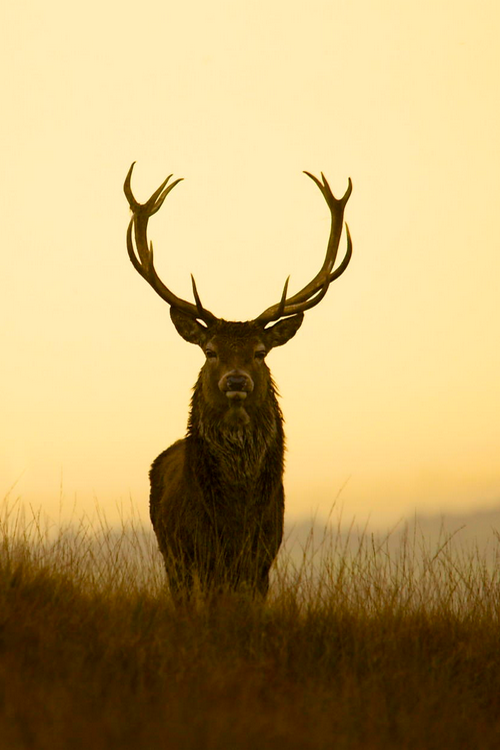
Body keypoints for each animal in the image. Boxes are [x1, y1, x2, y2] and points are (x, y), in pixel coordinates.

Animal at [123, 164, 354, 600]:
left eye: (260, 352)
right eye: (210, 350)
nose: (236, 380)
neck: (236, 516)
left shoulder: (262, 556)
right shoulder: (194, 552)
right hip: (169, 553)